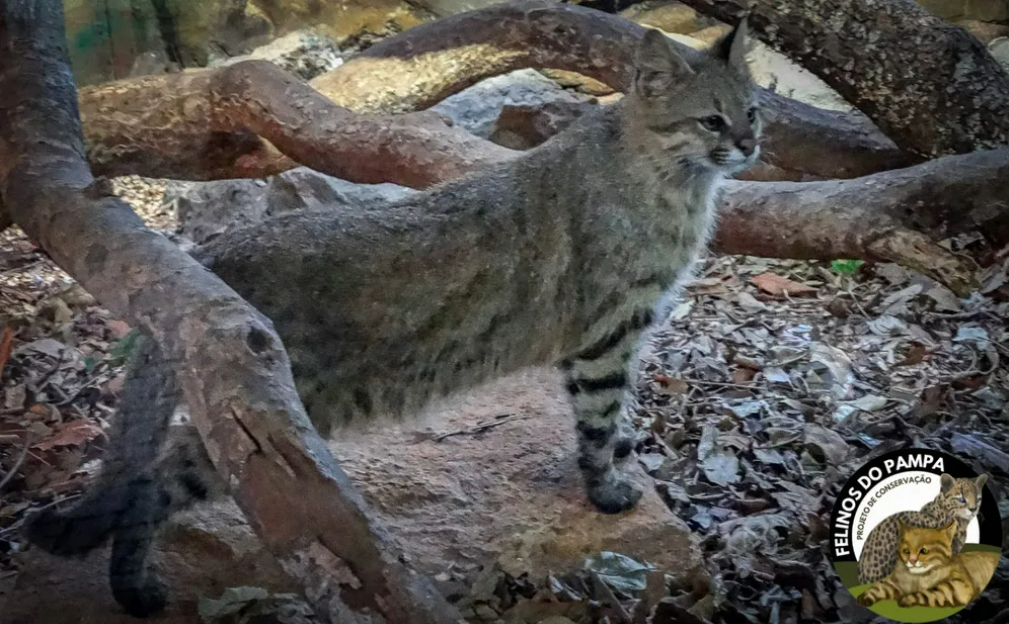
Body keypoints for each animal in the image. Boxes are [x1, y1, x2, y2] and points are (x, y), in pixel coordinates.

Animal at [23, 21, 758, 613]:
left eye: (753, 112)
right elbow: (598, 417)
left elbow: (613, 412)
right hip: (272, 417)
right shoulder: (607, 335)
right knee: (153, 479)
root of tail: (216, 249)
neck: (672, 180)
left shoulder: (619, 336)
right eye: (711, 121)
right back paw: (132, 588)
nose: (750, 145)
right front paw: (604, 487)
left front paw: (623, 449)